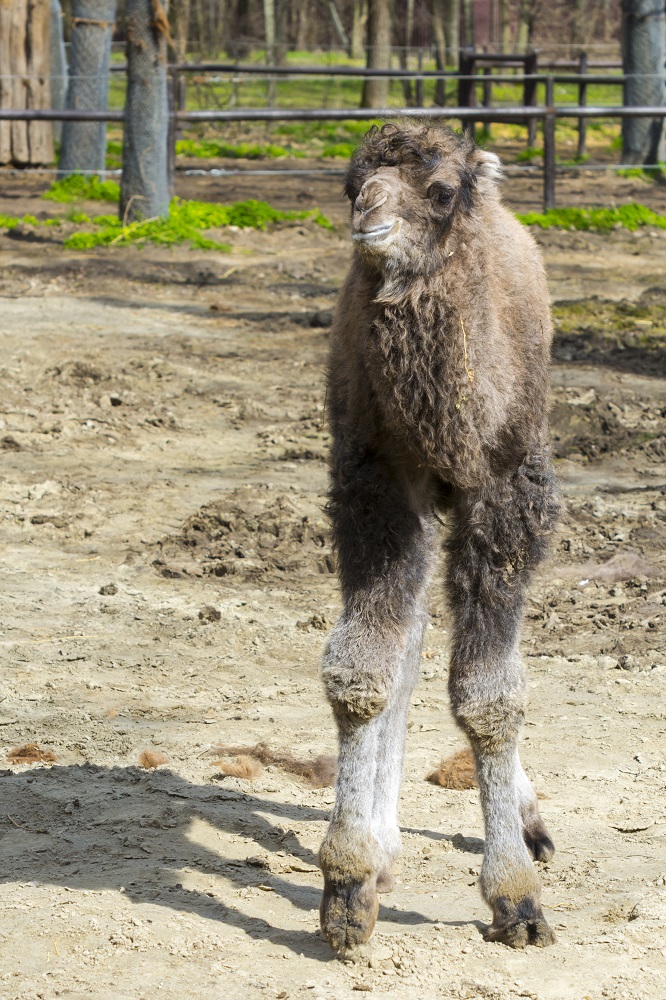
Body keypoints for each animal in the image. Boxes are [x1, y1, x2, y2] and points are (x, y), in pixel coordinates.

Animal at [316, 123, 560, 952]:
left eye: (442, 190)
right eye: (351, 182)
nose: (368, 217)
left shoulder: (507, 493)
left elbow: (491, 693)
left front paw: (516, 899)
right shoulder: (378, 482)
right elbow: (364, 668)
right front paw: (350, 881)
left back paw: (529, 827)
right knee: (416, 631)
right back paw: (391, 842)